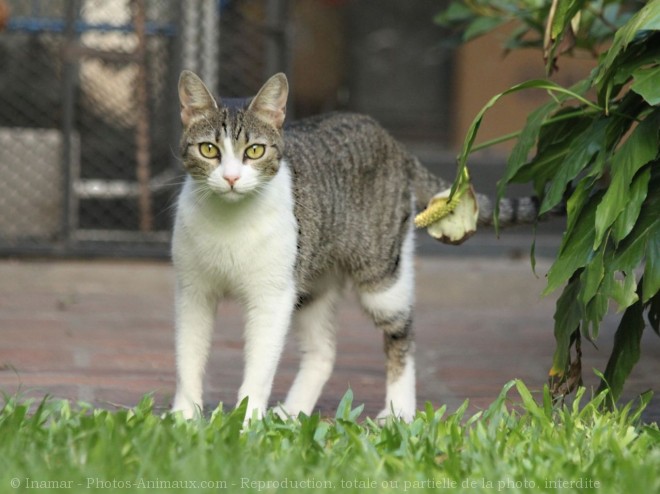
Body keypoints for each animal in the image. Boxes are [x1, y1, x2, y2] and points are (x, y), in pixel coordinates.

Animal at [169, 69, 536, 422]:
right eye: (209, 150)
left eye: (254, 151)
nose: (231, 178)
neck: (228, 221)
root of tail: (391, 140)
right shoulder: (194, 292)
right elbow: (188, 359)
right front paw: (184, 418)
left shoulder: (271, 296)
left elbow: (259, 369)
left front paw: (246, 421)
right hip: (311, 284)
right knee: (324, 353)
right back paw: (292, 412)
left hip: (381, 278)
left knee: (403, 336)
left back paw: (399, 410)